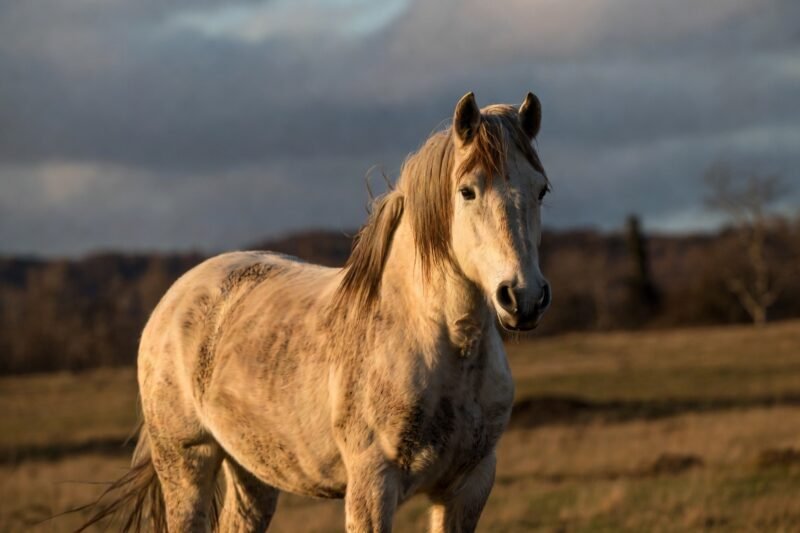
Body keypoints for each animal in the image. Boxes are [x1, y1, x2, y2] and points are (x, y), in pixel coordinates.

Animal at [80, 91, 552, 532]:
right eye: (467, 190)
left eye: (541, 190)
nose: (523, 297)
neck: (441, 344)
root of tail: (174, 299)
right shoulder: (372, 486)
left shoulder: (469, 486)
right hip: (185, 464)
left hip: (252, 469)